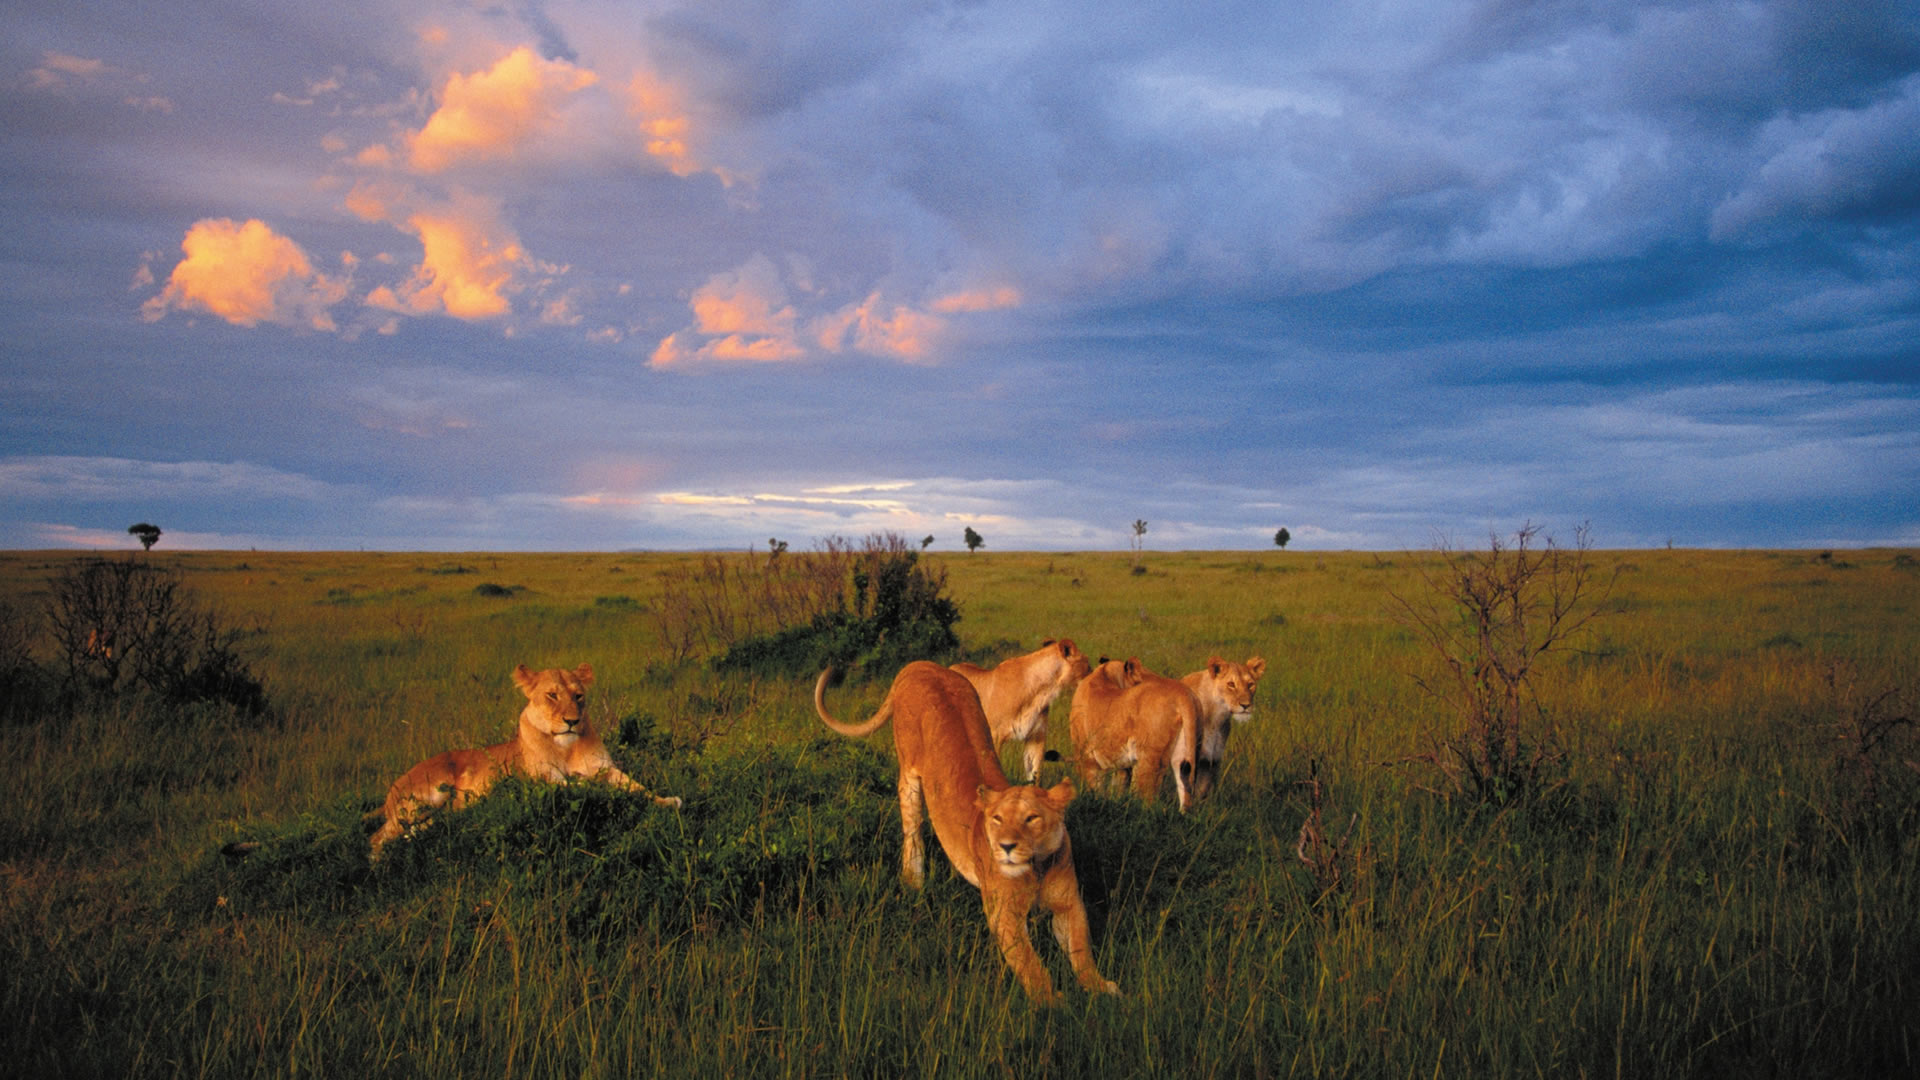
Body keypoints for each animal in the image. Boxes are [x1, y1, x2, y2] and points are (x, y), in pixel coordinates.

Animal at [366, 663, 680, 864]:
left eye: (579, 696)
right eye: (552, 695)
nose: (572, 721)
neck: (566, 747)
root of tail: (391, 788)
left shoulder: (606, 769)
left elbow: (635, 786)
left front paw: (667, 800)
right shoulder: (549, 783)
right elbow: (596, 791)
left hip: (431, 815)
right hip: (424, 799)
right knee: (377, 837)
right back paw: (378, 864)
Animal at [814, 661, 1120, 1005]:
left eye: (1031, 818)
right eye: (997, 819)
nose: (1006, 847)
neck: (1037, 866)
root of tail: (920, 664)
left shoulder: (1068, 904)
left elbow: (1082, 949)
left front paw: (1100, 986)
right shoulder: (1004, 914)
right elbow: (1030, 963)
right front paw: (1052, 1002)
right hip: (909, 774)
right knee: (913, 833)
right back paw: (914, 883)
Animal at [950, 637, 1092, 780]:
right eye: (1087, 663)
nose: (1093, 675)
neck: (1042, 692)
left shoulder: (1036, 737)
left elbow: (1034, 774)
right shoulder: (994, 736)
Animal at [1067, 657, 1198, 812]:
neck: (1104, 674)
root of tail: (1183, 693)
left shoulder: (1086, 756)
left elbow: (1093, 788)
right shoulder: (1122, 766)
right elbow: (1117, 789)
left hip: (1148, 761)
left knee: (1147, 802)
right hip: (1183, 755)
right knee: (1185, 796)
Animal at [1182, 656, 1268, 802]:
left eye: (1250, 684)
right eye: (1231, 684)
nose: (1246, 705)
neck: (1216, 717)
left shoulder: (1211, 759)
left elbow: (1203, 791)